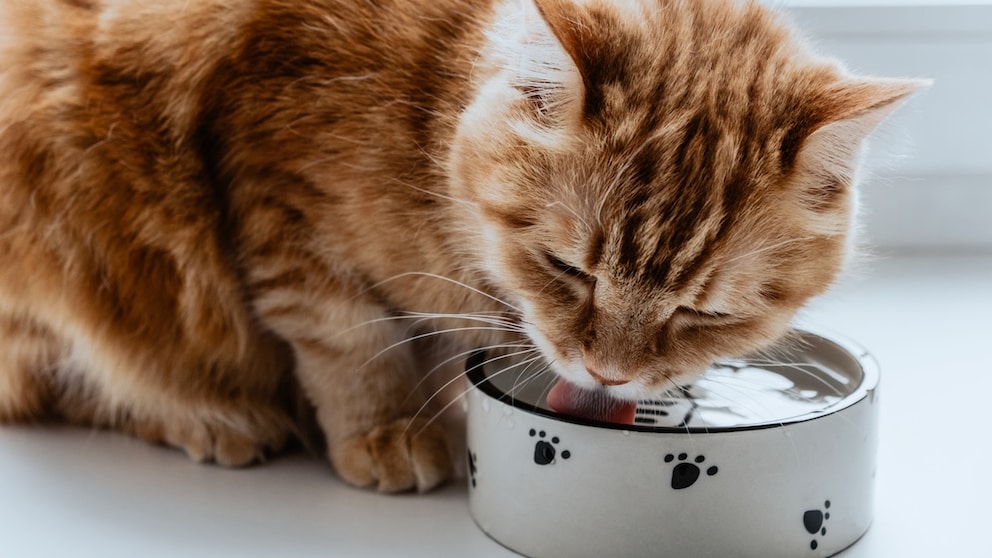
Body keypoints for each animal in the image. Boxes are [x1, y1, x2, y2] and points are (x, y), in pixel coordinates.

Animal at [0, 0, 928, 494]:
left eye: (704, 314)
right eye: (568, 269)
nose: (608, 374)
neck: (424, 99)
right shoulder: (282, 200)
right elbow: (347, 338)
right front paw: (386, 428)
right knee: (75, 376)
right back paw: (211, 415)